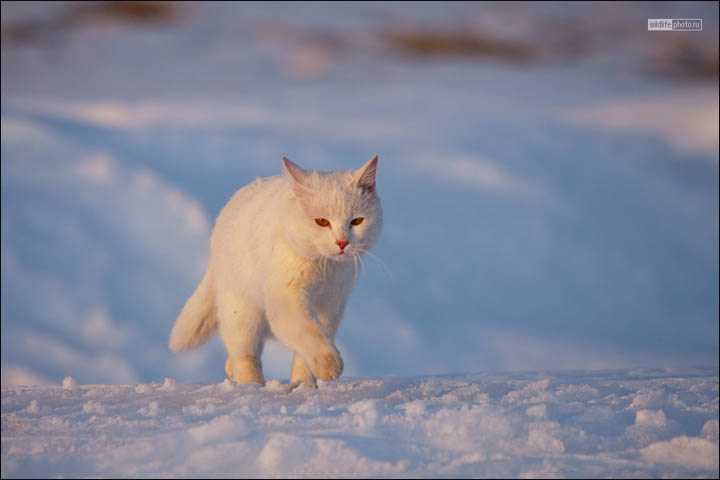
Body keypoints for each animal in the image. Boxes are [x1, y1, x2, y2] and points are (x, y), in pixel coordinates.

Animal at [169, 156, 382, 388]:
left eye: (357, 221)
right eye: (322, 222)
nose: (342, 242)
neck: (324, 268)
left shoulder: (331, 305)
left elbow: (309, 347)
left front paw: (304, 385)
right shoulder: (285, 301)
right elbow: (310, 333)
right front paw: (328, 364)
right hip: (242, 313)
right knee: (244, 355)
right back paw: (251, 386)